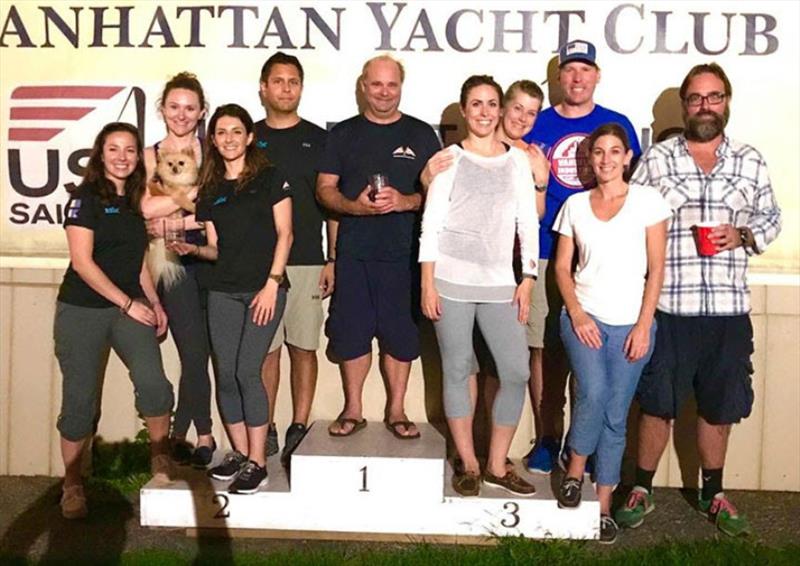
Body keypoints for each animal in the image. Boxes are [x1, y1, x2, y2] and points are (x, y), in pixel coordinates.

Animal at [147, 149, 198, 290]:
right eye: (170, 164)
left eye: (181, 163)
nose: (174, 168)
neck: (178, 181)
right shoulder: (178, 195)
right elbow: (186, 200)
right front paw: (194, 207)